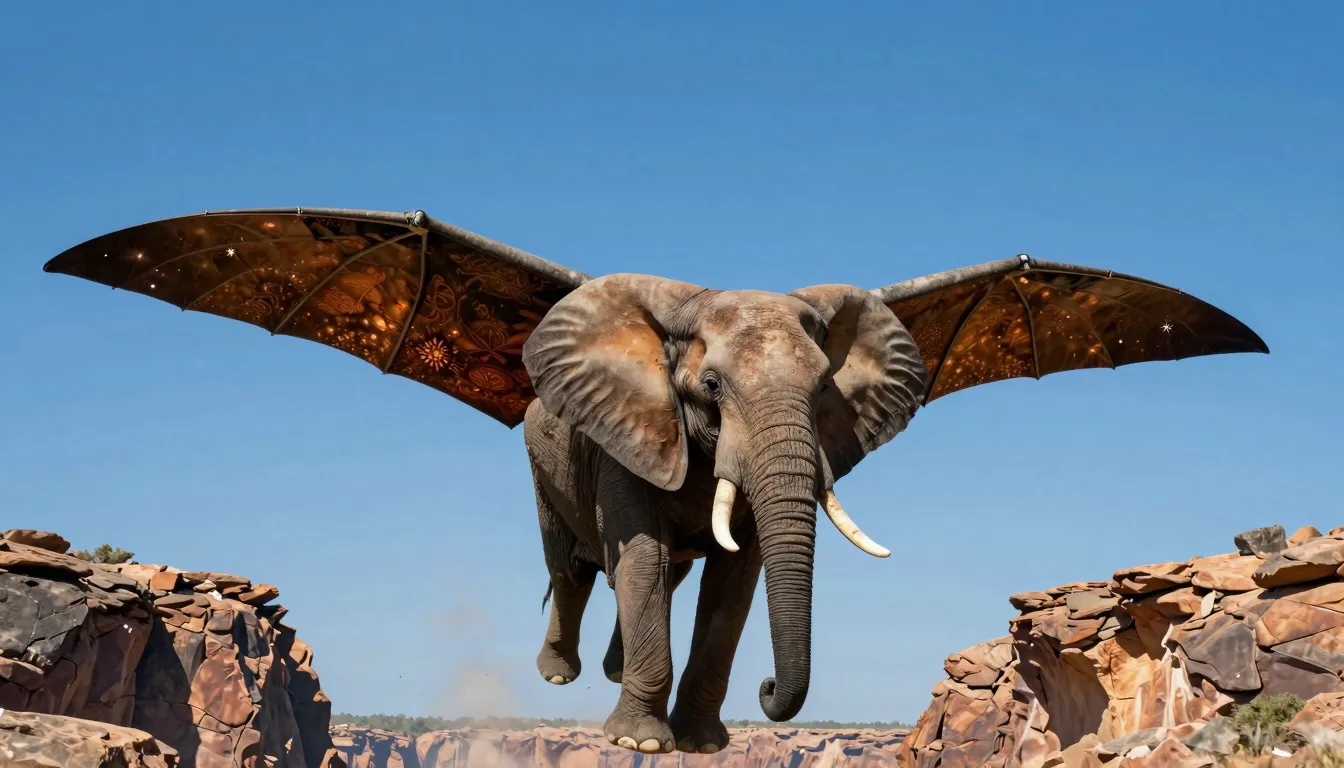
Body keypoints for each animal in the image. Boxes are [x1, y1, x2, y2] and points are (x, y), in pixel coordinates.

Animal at [43, 207, 1269, 756]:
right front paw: (641, 739)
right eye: (708, 387)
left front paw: (705, 738)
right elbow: (634, 552)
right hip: (539, 456)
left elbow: (733, 581)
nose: (778, 700)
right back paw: (562, 671)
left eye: (825, 395)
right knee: (575, 559)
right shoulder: (625, 434)